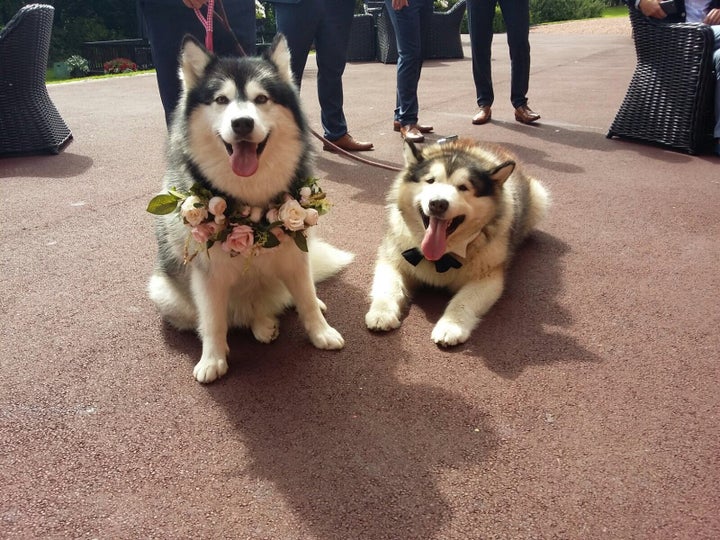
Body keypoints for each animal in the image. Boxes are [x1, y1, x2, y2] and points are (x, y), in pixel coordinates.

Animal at [146, 34, 352, 384]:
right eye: (221, 99)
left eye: (261, 98)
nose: (242, 123)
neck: (249, 201)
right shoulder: (208, 275)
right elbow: (213, 321)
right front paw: (212, 359)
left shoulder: (295, 256)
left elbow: (306, 299)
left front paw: (321, 332)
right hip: (165, 293)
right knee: (227, 318)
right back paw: (260, 325)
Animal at [362, 140, 548, 346]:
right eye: (430, 181)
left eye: (463, 187)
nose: (438, 203)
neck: (441, 257)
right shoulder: (393, 259)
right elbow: (389, 287)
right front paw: (382, 312)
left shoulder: (488, 277)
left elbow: (462, 301)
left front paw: (450, 326)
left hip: (540, 197)